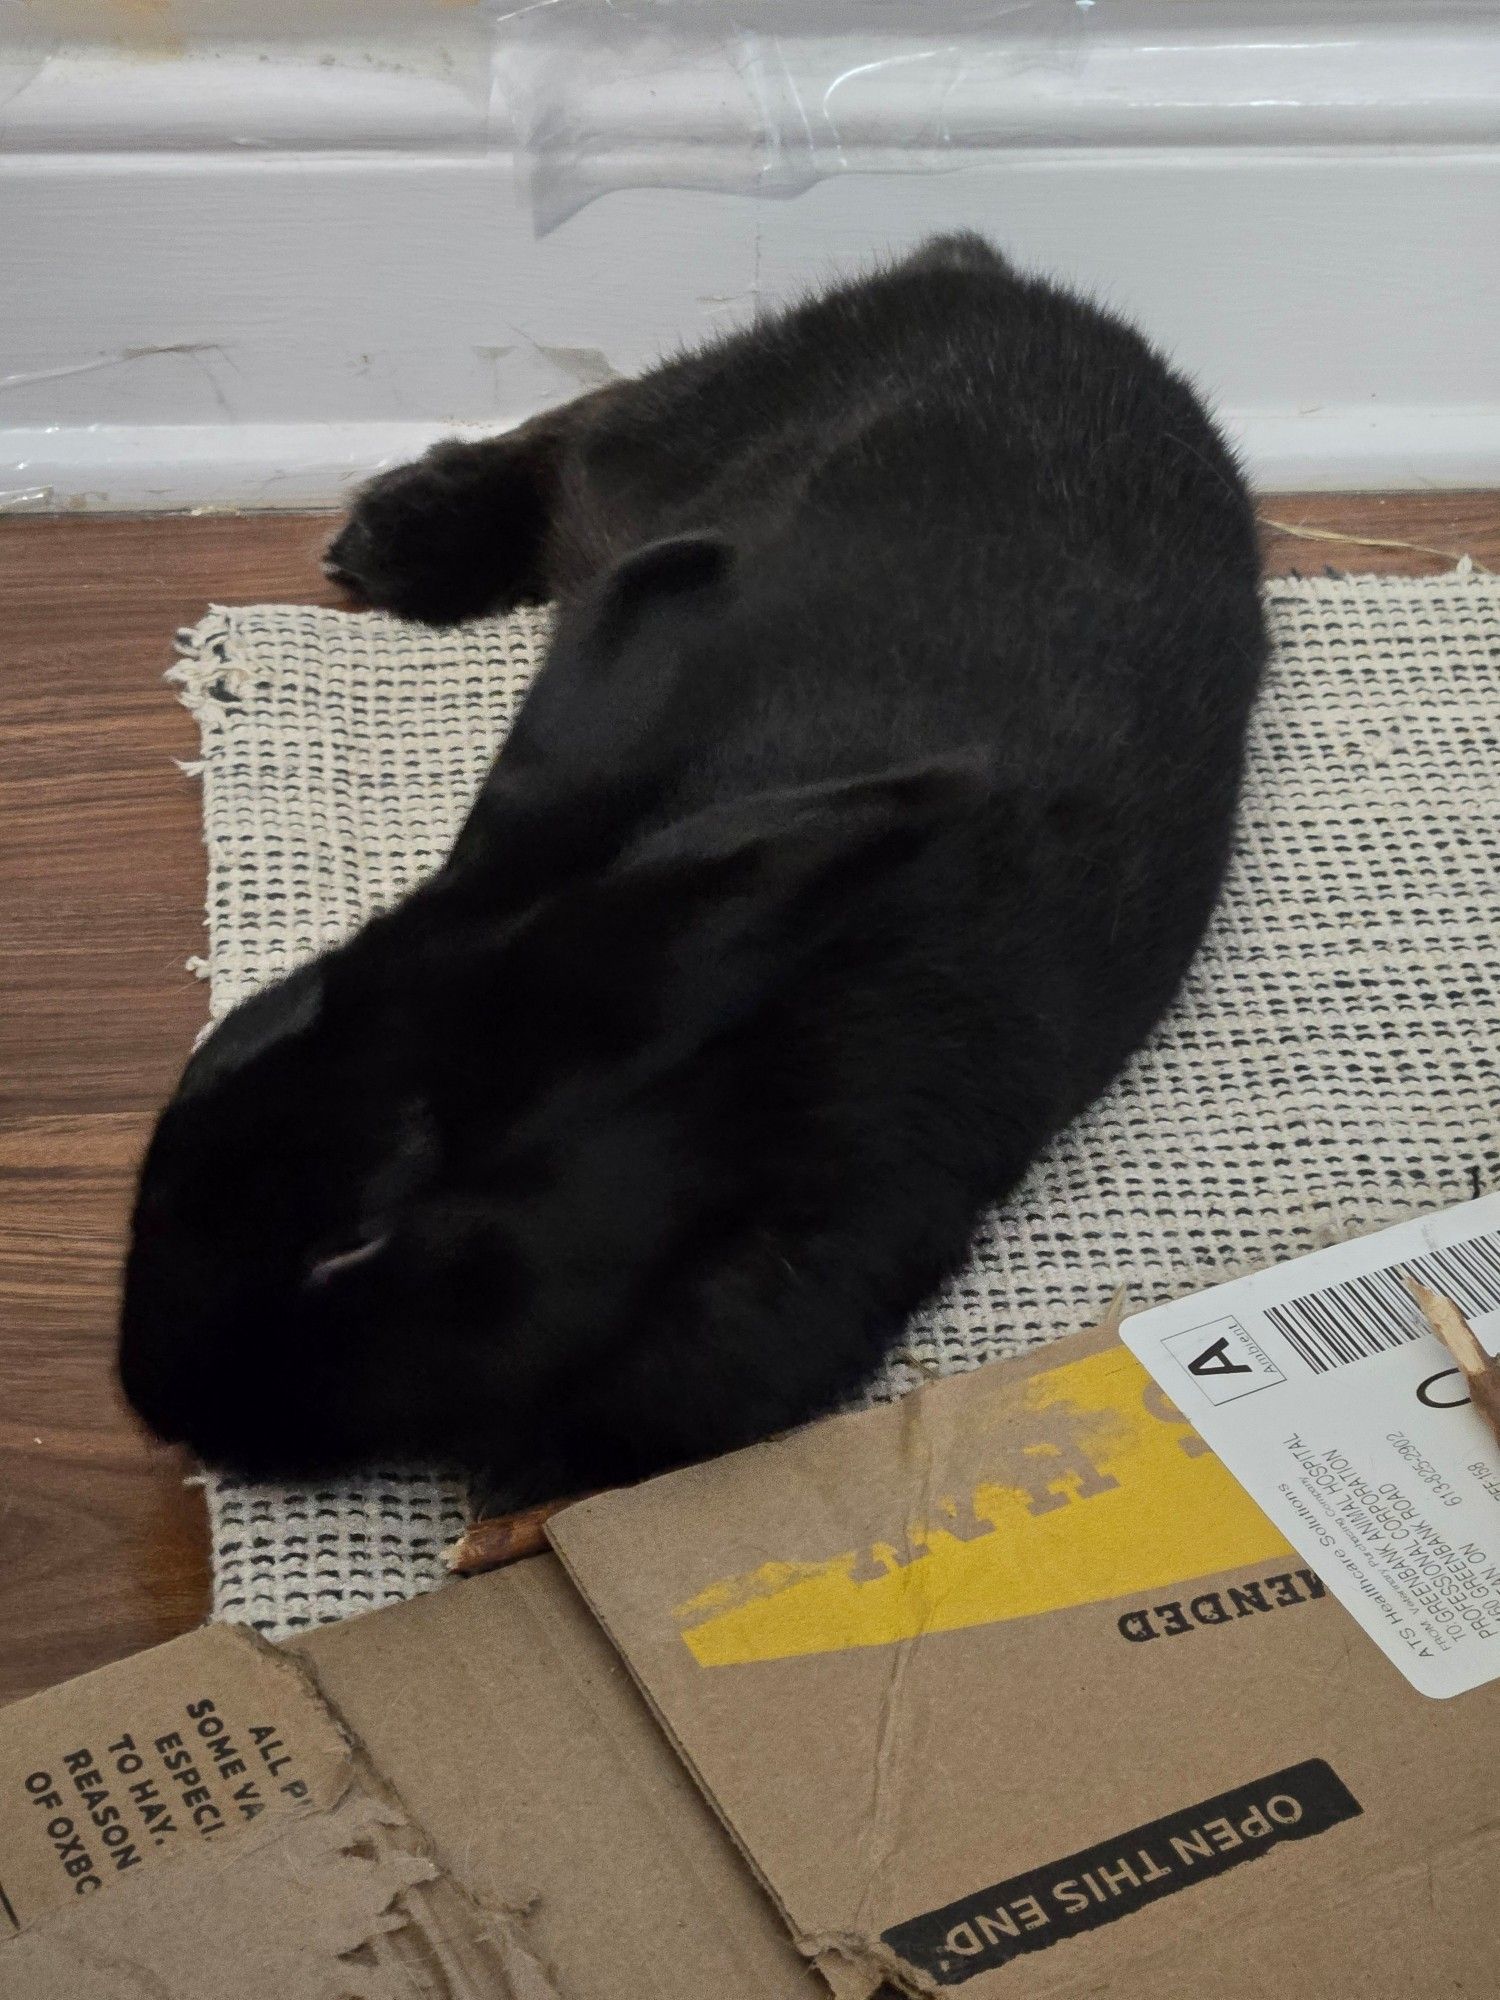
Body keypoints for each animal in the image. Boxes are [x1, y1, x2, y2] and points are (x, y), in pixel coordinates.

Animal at [120, 234, 1272, 1496]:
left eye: (355, 1238)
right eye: (212, 1057)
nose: (152, 1399)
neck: (691, 1095)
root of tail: (989, 275)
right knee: (575, 426)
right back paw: (392, 539)